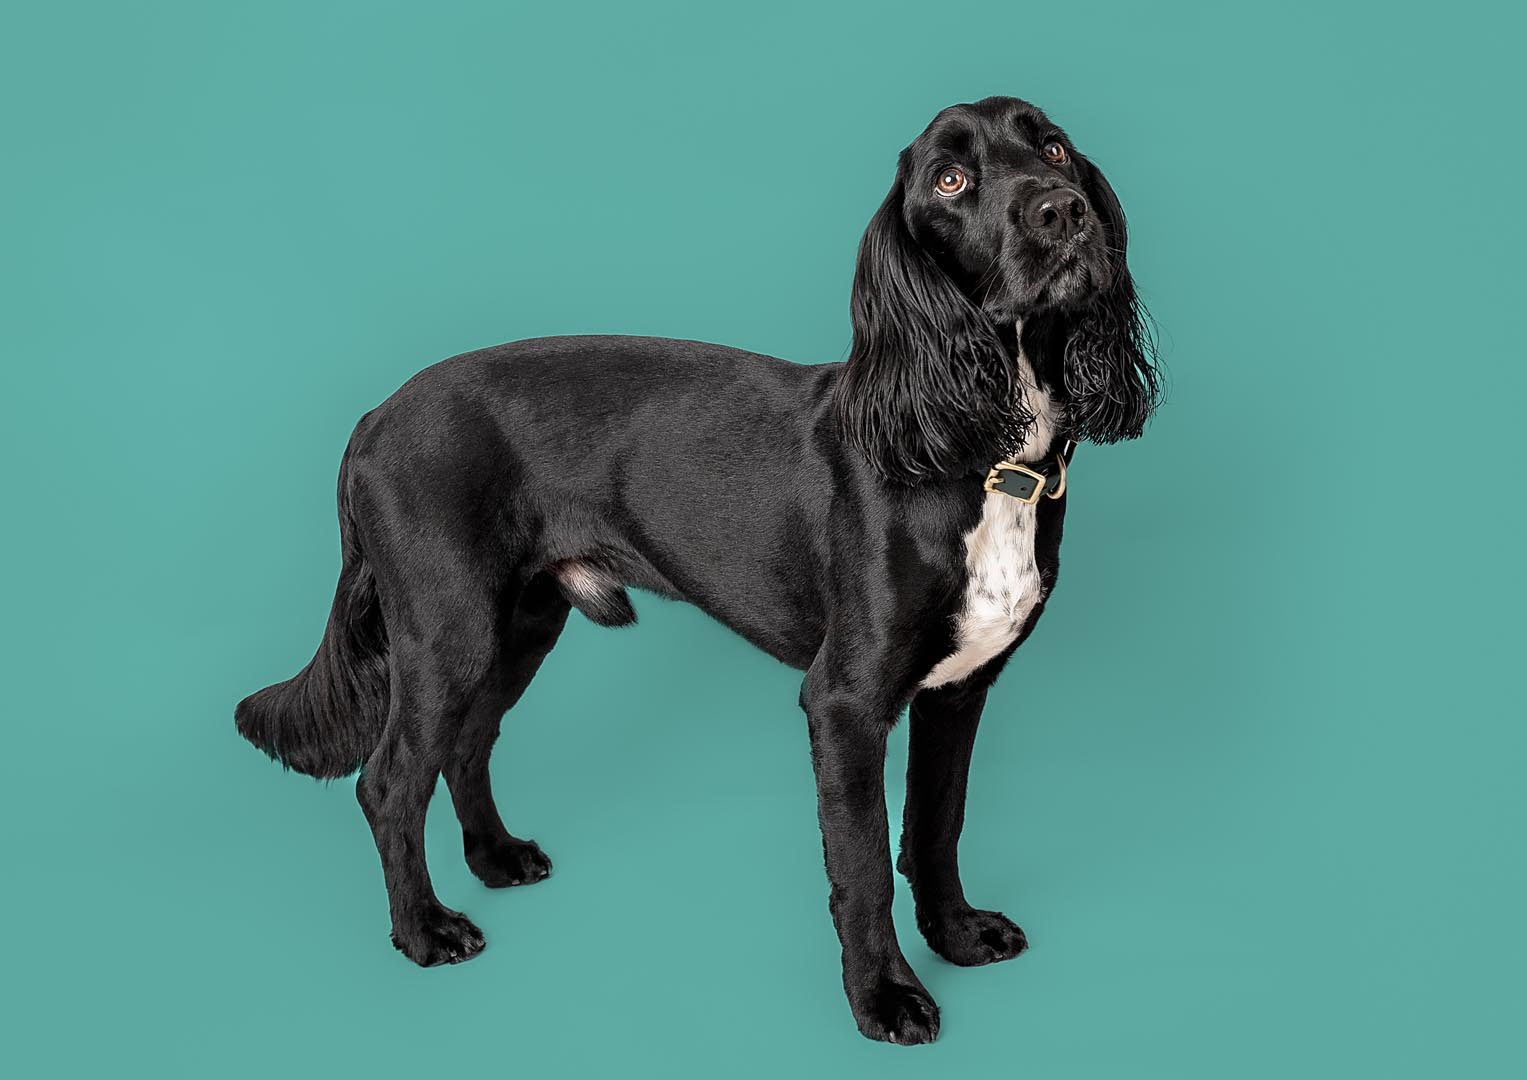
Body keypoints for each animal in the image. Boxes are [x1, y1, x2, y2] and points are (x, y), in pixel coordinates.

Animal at [241, 97, 1154, 1044]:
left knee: (465, 744)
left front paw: (958, 936)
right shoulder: (844, 701)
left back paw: (495, 859)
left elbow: (936, 826)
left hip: (517, 623)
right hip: (445, 630)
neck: (982, 450)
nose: (1060, 211)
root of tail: (372, 417)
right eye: (949, 178)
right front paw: (884, 996)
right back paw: (423, 931)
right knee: (388, 781)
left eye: (1052, 147)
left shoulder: (956, 689)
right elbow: (863, 864)